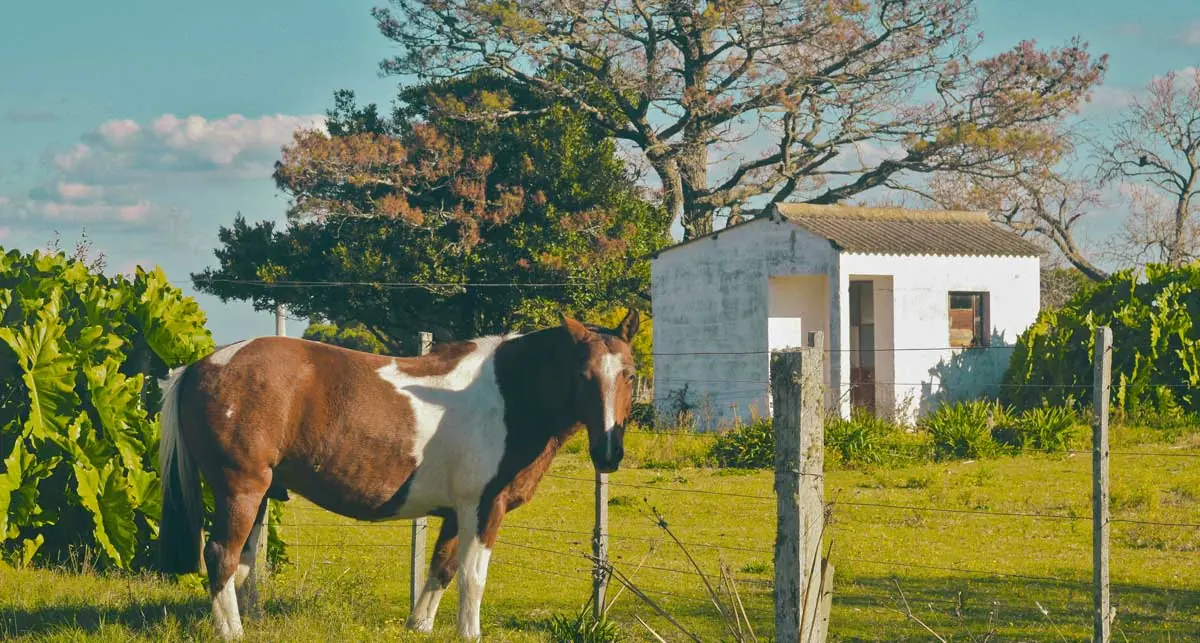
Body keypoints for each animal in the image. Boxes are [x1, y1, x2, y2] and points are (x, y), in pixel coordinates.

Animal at [154, 311, 640, 640]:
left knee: (242, 563)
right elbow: (472, 577)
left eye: (631, 375)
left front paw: (419, 625)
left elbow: (443, 569)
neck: (507, 395)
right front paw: (469, 633)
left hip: (258, 496)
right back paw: (232, 632)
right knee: (220, 556)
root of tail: (200, 366)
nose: (608, 453)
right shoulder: (483, 508)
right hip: (241, 489)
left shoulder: (455, 513)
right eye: (583, 375)